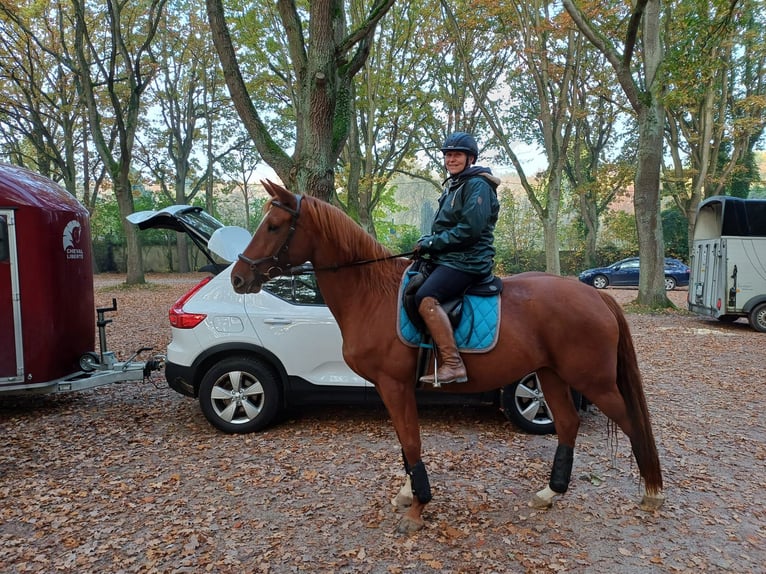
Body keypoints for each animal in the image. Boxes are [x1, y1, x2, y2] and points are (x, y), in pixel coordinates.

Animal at [230, 181, 664, 536]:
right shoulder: (393, 389)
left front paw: (417, 508)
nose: (237, 278)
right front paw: (408, 493)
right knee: (569, 423)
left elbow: (412, 442)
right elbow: (404, 443)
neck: (372, 294)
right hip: (551, 374)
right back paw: (550, 493)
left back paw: (652, 493)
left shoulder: (394, 385)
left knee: (632, 423)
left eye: (273, 227)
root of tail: (595, 295)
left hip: (593, 380)